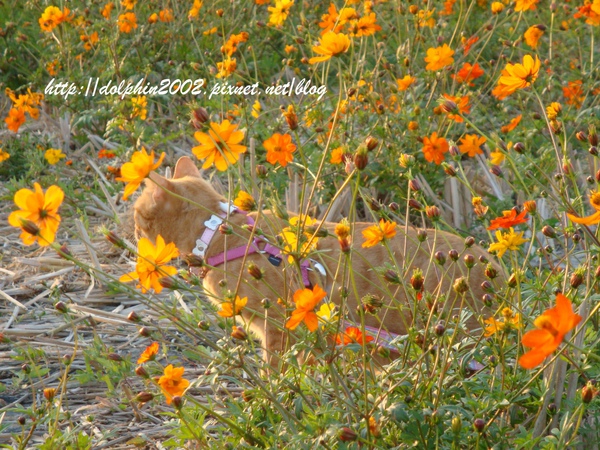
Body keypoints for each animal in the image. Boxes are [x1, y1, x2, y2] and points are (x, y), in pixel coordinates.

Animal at [135, 157, 502, 366]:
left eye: (137, 213)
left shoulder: (276, 327)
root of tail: (492, 266)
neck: (215, 231)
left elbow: (277, 371)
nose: (131, 228)